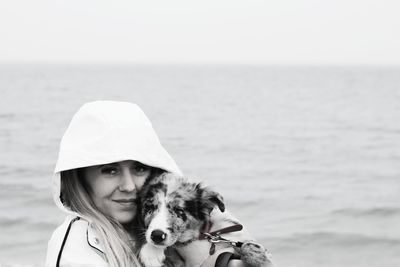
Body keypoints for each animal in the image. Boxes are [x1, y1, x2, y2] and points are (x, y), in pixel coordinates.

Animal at [133, 173, 274, 266]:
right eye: (149, 207)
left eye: (179, 210)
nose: (157, 236)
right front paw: (151, 252)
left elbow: (248, 245)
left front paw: (258, 257)